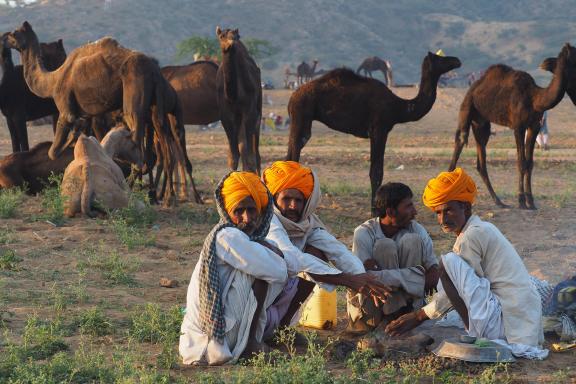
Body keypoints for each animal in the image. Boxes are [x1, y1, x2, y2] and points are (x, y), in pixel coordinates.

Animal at [215, 28, 262, 174]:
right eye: (221, 36)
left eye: (237, 35)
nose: (231, 42)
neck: (234, 96)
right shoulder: (226, 116)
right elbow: (234, 154)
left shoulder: (249, 112)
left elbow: (249, 153)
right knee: (242, 147)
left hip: (258, 112)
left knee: (255, 151)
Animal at [286, 51, 462, 213]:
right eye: (440, 58)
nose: (457, 60)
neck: (399, 107)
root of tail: (293, 96)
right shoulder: (379, 128)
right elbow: (377, 172)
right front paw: (376, 210)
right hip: (302, 112)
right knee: (296, 149)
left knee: (290, 153)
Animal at [450, 44, 576, 210]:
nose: (545, 62)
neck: (535, 98)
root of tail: (475, 86)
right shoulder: (518, 126)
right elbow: (521, 162)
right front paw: (521, 201)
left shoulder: (534, 126)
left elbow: (530, 163)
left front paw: (531, 202)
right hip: (467, 107)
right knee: (461, 139)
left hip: (481, 122)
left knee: (481, 159)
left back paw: (499, 201)